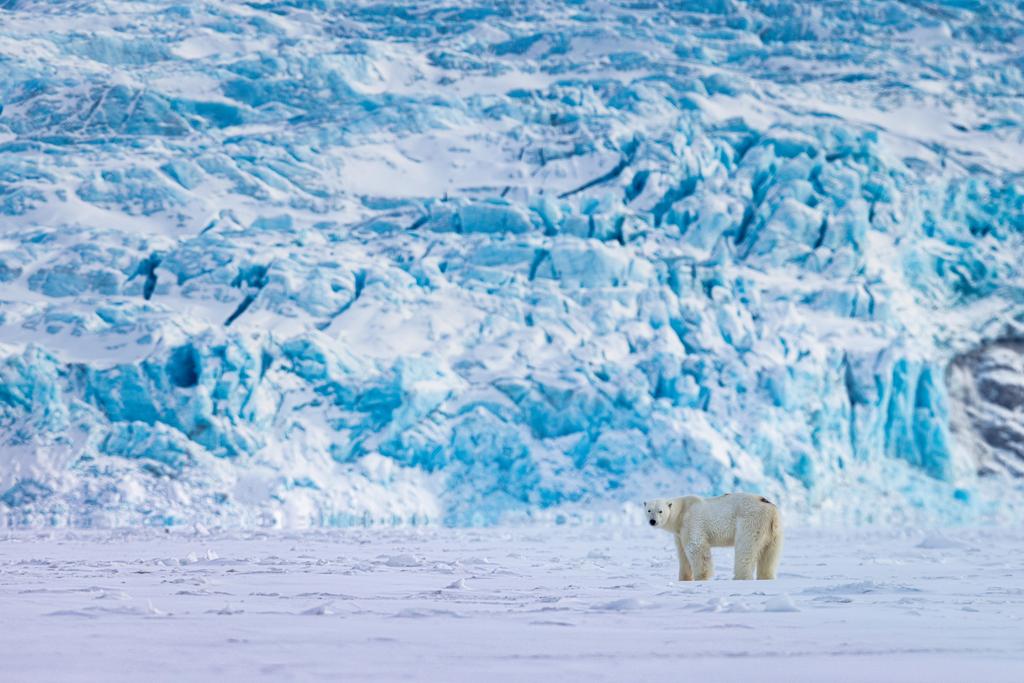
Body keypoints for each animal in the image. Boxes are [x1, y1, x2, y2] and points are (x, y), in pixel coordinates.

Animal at [644, 493, 783, 581]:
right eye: (649, 510)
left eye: (660, 511)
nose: (652, 521)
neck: (681, 512)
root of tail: (771, 508)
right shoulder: (679, 533)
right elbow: (682, 554)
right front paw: (683, 579)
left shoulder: (692, 522)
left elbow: (695, 547)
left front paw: (701, 577)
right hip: (774, 531)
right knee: (769, 554)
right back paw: (766, 577)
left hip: (751, 521)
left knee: (745, 548)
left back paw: (739, 577)